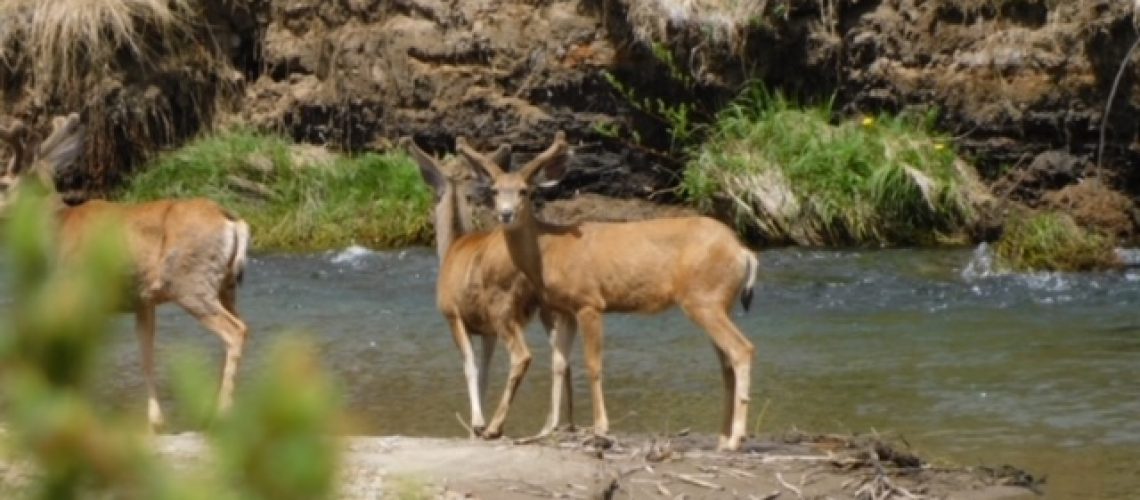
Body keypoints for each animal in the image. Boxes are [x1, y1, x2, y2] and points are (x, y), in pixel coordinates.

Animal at [0, 113, 251, 431]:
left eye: (3, 183)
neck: (56, 230)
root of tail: (233, 222)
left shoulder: (77, 289)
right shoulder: (143, 301)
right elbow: (146, 355)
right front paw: (156, 422)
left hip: (190, 282)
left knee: (235, 330)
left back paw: (220, 414)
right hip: (226, 285)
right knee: (242, 327)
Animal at [400, 136, 573, 439]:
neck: (452, 246)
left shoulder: (453, 314)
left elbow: (470, 366)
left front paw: (477, 424)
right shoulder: (487, 330)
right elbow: (484, 372)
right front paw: (476, 425)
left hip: (502, 307)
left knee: (523, 356)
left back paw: (496, 426)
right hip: (546, 308)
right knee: (562, 357)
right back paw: (555, 425)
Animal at [455, 131, 759, 451]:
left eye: (525, 191)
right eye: (494, 190)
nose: (506, 214)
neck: (549, 251)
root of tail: (744, 252)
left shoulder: (589, 301)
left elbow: (593, 364)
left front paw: (600, 428)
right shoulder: (565, 309)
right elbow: (559, 364)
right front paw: (544, 428)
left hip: (704, 299)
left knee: (742, 349)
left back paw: (736, 438)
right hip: (717, 302)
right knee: (726, 363)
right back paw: (722, 438)